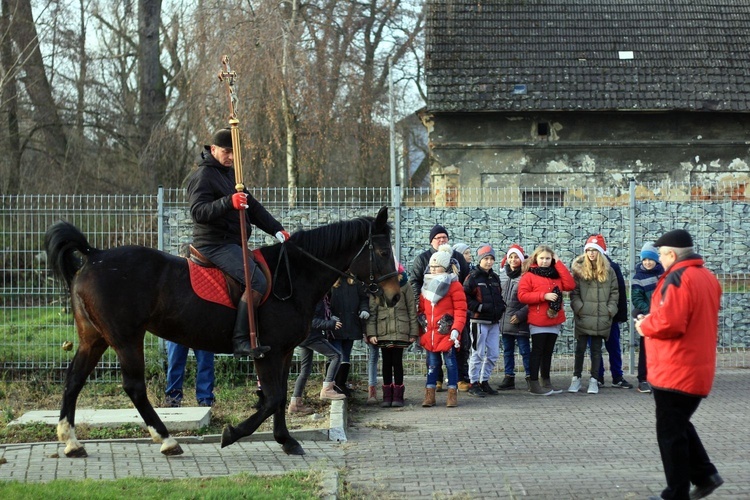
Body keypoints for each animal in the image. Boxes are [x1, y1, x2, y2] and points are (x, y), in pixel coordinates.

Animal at [44, 206, 402, 458]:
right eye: (383, 252)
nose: (395, 295)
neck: (292, 276)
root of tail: (95, 255)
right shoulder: (266, 352)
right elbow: (272, 398)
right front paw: (233, 434)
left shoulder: (283, 352)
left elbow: (279, 397)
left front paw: (286, 440)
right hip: (126, 339)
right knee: (134, 387)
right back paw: (167, 440)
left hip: (94, 338)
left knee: (73, 380)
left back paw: (71, 442)